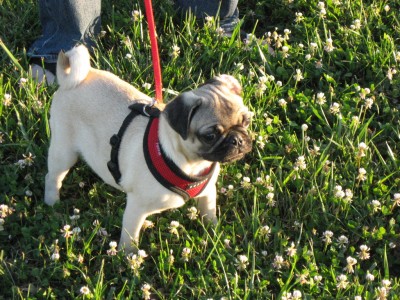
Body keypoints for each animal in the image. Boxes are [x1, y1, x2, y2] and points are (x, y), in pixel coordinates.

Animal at [45, 45, 252, 253]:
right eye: (210, 136)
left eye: (246, 121)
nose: (238, 140)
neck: (192, 164)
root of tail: (73, 80)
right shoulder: (136, 207)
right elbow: (130, 239)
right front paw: (127, 258)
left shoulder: (208, 194)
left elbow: (208, 213)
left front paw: (213, 232)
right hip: (64, 152)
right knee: (53, 177)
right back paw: (52, 203)